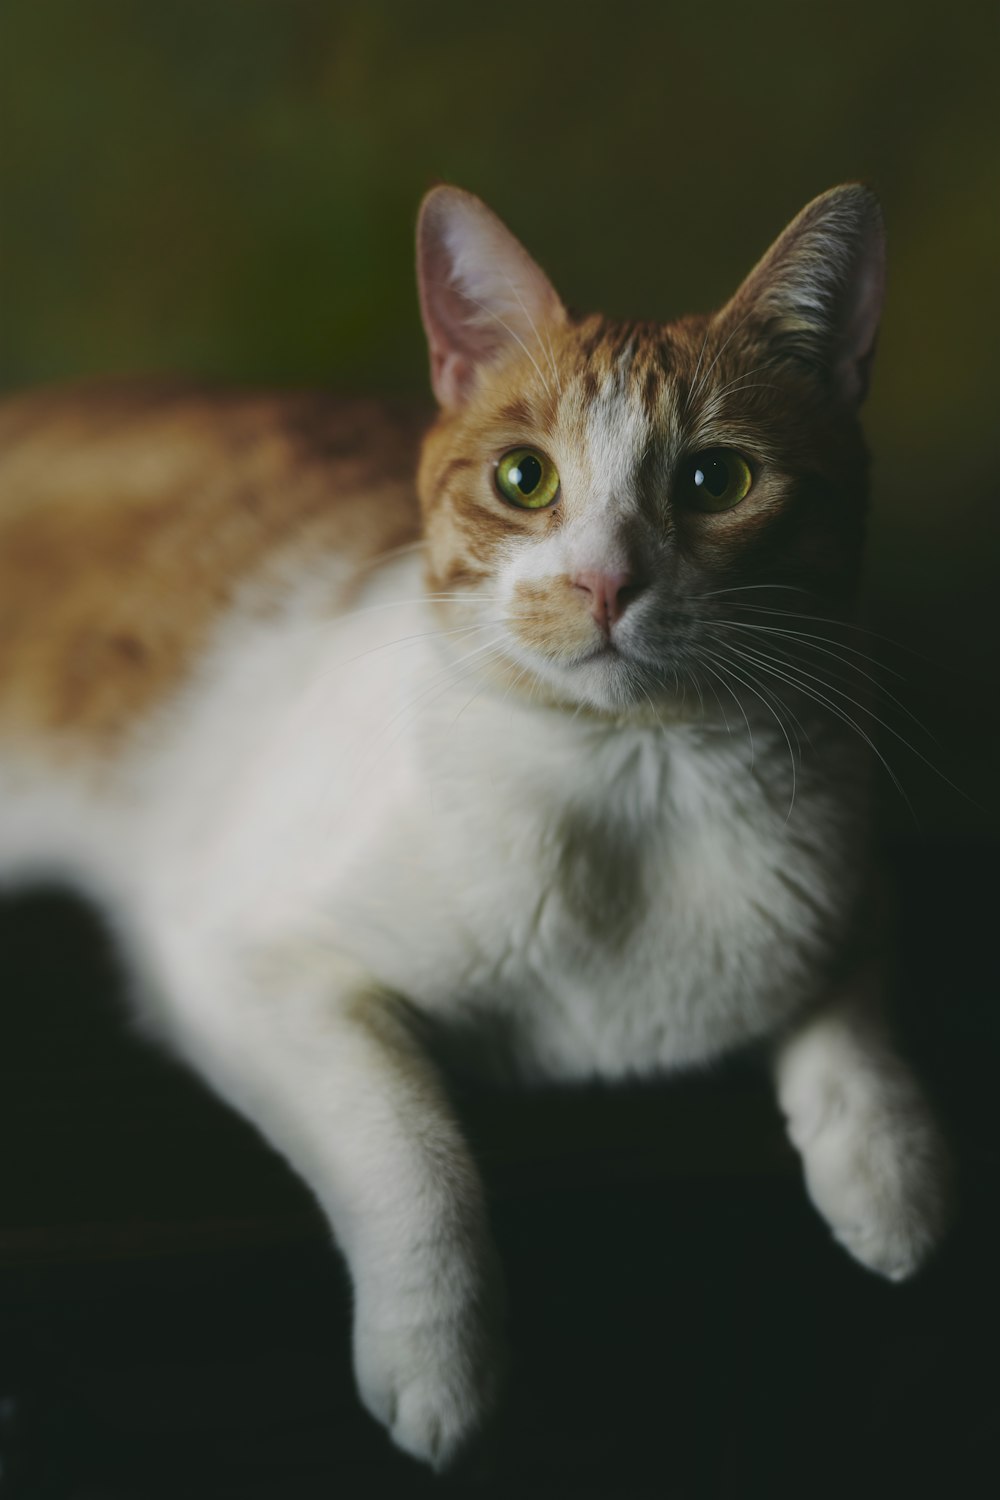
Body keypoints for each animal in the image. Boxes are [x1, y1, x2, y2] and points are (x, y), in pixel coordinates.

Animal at [0, 184, 953, 1464]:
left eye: (716, 482)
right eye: (523, 479)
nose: (604, 584)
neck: (632, 786)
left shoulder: (842, 869)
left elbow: (852, 1009)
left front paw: (890, 1175)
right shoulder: (243, 963)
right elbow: (414, 1151)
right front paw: (438, 1362)